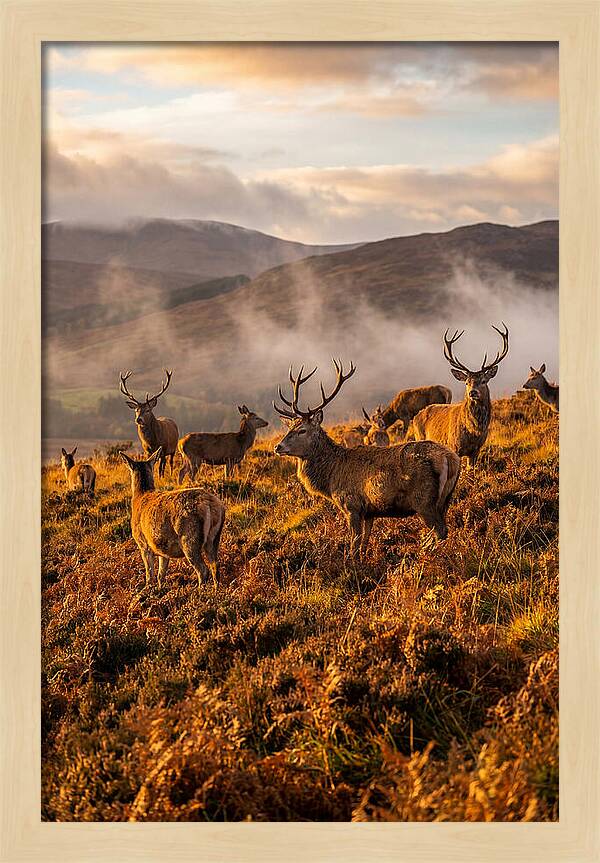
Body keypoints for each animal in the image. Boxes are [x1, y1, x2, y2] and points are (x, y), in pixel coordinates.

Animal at [119, 448, 225, 591]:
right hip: (214, 538)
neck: (140, 497)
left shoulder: (143, 543)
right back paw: (215, 591)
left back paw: (199, 591)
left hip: (189, 538)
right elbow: (161, 574)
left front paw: (148, 590)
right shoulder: (162, 549)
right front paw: (160, 589)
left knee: (203, 570)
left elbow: (149, 574)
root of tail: (211, 505)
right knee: (215, 566)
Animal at [273, 360, 461, 557]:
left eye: (302, 430)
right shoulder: (370, 512)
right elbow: (364, 542)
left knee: (440, 530)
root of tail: (450, 458)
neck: (331, 478)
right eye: (289, 428)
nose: (278, 447)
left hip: (424, 500)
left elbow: (354, 545)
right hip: (446, 498)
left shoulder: (351, 505)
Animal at [411, 323, 509, 470]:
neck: (474, 431)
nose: (472, 392)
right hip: (420, 437)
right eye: (467, 382)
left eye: (483, 381)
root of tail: (416, 416)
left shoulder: (476, 450)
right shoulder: (454, 446)